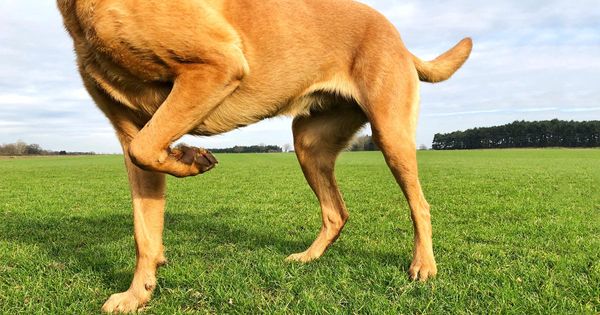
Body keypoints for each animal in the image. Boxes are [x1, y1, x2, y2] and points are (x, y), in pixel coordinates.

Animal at [58, 0, 474, 312]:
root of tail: (400, 39)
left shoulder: (217, 65)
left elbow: (146, 151)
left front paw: (190, 158)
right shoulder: (130, 129)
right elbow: (144, 228)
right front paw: (138, 293)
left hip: (391, 133)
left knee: (419, 204)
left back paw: (423, 265)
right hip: (309, 143)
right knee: (336, 212)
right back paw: (308, 257)